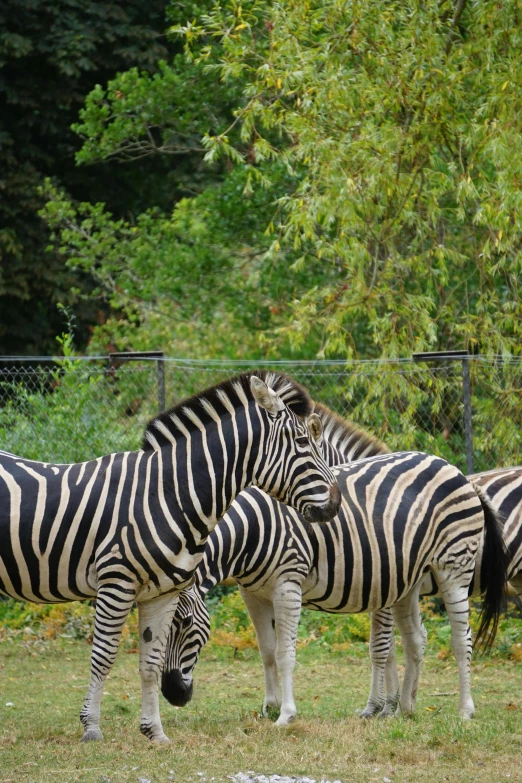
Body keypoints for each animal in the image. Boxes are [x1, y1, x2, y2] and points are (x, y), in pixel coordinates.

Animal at [0, 370, 342, 744]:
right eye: (302, 441)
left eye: (186, 623)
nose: (336, 502)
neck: (167, 492)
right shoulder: (116, 583)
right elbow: (103, 656)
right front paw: (91, 727)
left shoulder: (162, 592)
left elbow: (149, 663)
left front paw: (155, 732)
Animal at [164, 408, 508, 724]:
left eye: (184, 623)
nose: (173, 695)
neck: (252, 529)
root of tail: (453, 468)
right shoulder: (252, 593)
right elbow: (267, 651)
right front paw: (269, 707)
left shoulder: (288, 585)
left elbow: (287, 653)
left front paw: (286, 714)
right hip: (408, 579)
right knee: (415, 639)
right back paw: (406, 708)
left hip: (454, 567)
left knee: (460, 639)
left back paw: (464, 711)